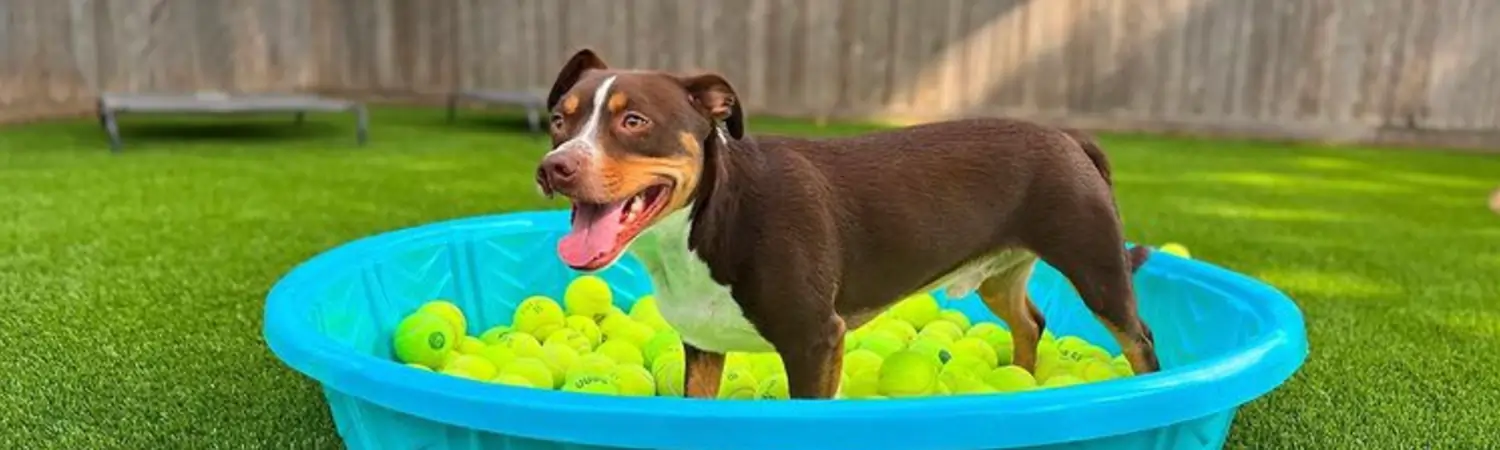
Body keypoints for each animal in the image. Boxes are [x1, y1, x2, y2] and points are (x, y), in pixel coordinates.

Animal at [534, 49, 1164, 399]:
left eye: (635, 122)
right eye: (559, 120)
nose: (554, 167)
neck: (710, 219)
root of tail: (1067, 137)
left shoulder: (815, 341)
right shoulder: (703, 346)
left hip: (1097, 269)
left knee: (1139, 339)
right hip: (1001, 276)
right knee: (1030, 323)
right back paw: (1021, 378)